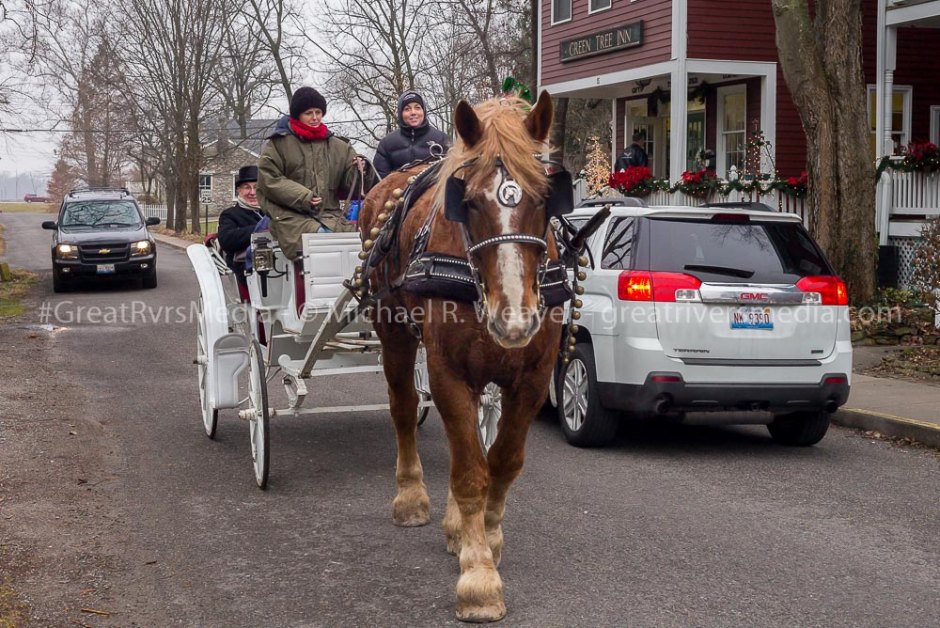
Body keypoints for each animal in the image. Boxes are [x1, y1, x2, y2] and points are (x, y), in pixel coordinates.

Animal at [358, 93, 564, 624]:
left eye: (543, 197)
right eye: (468, 201)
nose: (514, 317)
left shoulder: (533, 377)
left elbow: (502, 461)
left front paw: (486, 537)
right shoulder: (447, 369)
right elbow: (471, 470)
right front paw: (478, 575)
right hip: (395, 333)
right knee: (404, 409)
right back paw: (411, 495)